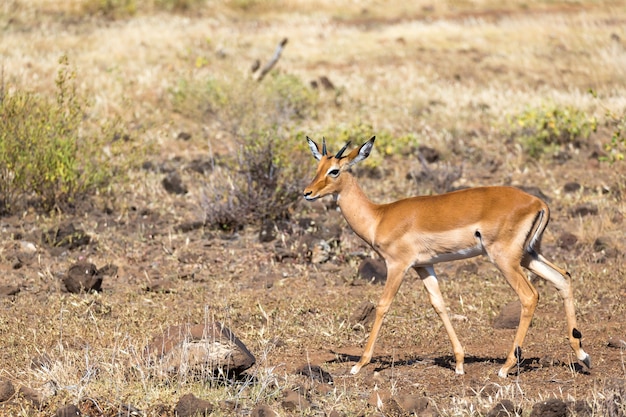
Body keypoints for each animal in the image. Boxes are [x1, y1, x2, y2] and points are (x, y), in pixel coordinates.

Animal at [302, 136, 588, 376]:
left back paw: (506, 367)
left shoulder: (397, 265)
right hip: (529, 254)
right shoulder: (424, 267)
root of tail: (539, 203)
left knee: (530, 296)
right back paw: (582, 356)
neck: (379, 217)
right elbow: (439, 305)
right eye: (318, 166)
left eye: (334, 170)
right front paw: (459, 363)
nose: (307, 193)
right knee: (563, 278)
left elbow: (383, 306)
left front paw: (359, 364)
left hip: (505, 259)